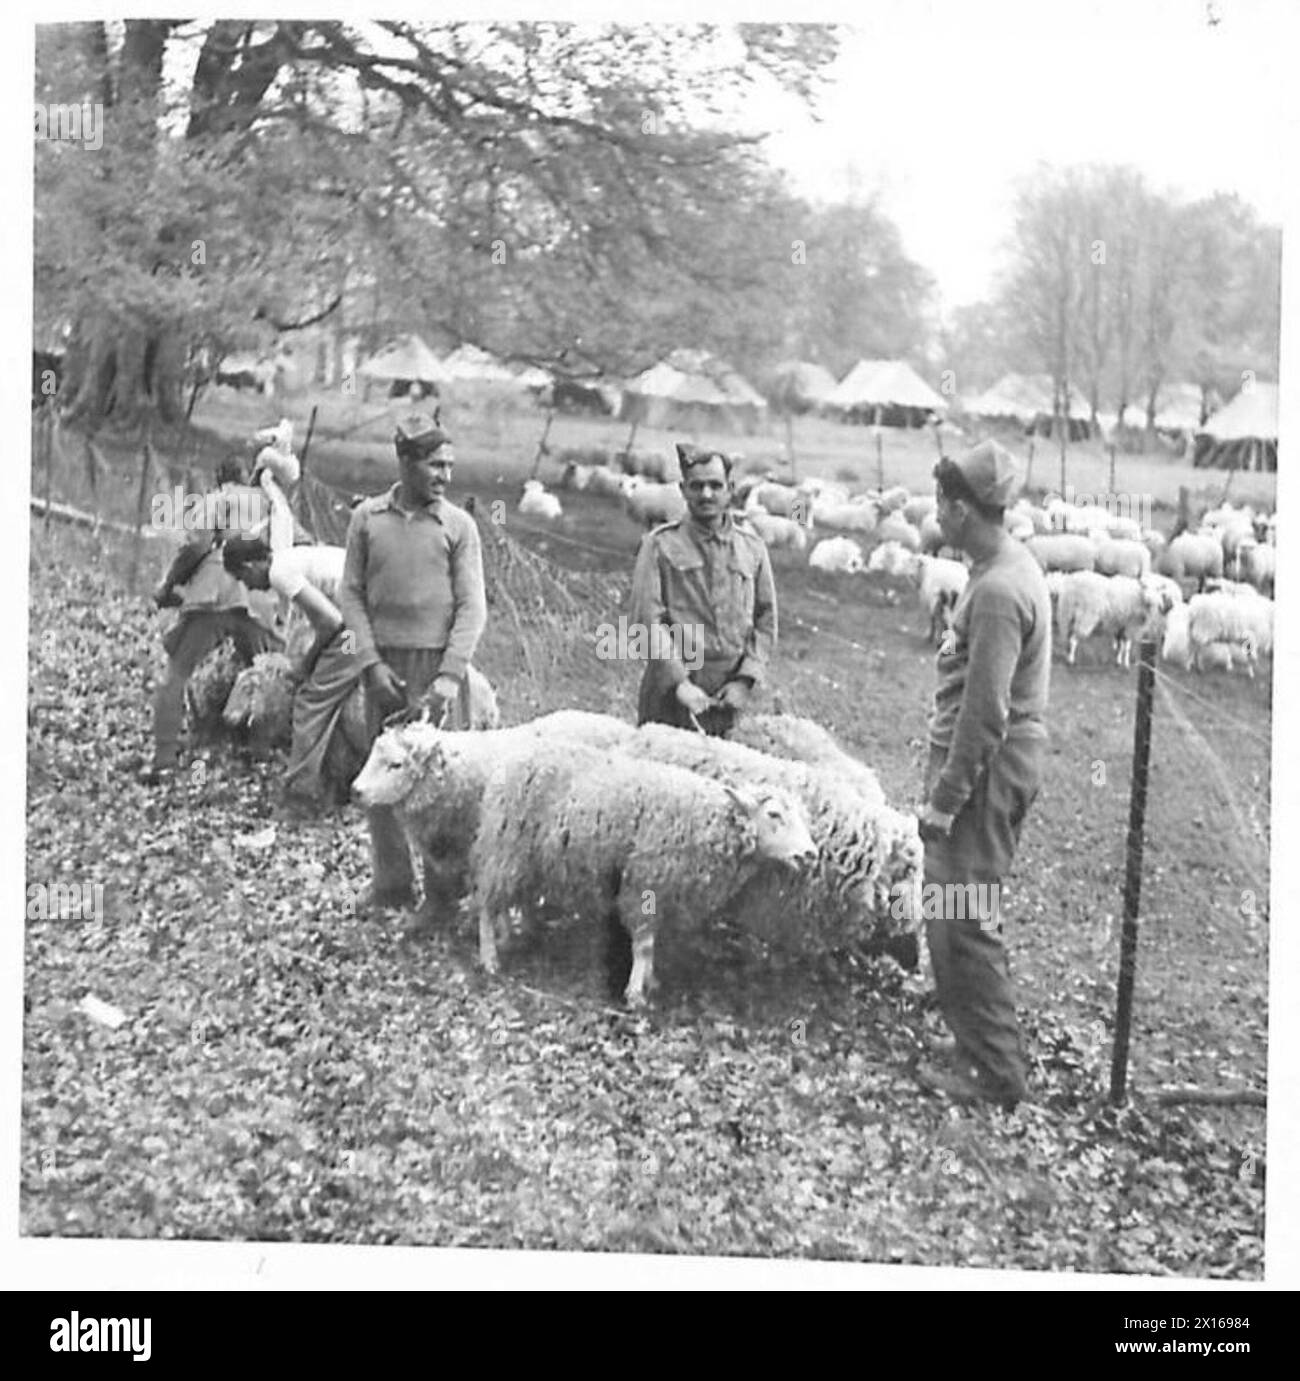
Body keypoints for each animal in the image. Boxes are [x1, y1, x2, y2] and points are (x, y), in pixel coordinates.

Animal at [469, 740, 818, 1004]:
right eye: (774, 815)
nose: (810, 854)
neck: (705, 819)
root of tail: (508, 761)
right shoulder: (644, 884)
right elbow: (645, 944)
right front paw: (636, 993)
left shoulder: (662, 892)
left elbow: (652, 942)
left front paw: (651, 980)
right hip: (506, 847)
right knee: (487, 905)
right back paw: (490, 958)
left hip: (527, 858)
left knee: (511, 899)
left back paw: (517, 933)